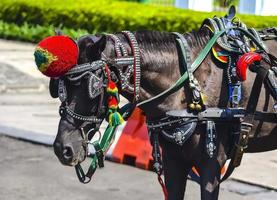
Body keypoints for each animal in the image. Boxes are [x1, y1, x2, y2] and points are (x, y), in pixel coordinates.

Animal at [50, 24, 274, 199]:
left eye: (93, 85)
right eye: (59, 88)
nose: (63, 148)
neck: (190, 82)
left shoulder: (211, 165)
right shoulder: (173, 160)